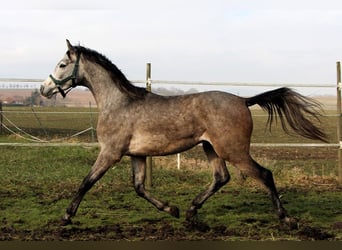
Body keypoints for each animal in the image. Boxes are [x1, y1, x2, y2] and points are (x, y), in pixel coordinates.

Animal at [40, 40, 326, 228]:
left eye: (62, 64)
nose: (44, 89)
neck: (119, 103)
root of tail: (243, 100)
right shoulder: (136, 155)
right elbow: (139, 187)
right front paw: (172, 209)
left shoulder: (110, 153)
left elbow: (86, 182)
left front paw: (66, 216)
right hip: (211, 148)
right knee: (221, 177)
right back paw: (190, 212)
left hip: (233, 150)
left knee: (264, 174)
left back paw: (287, 219)